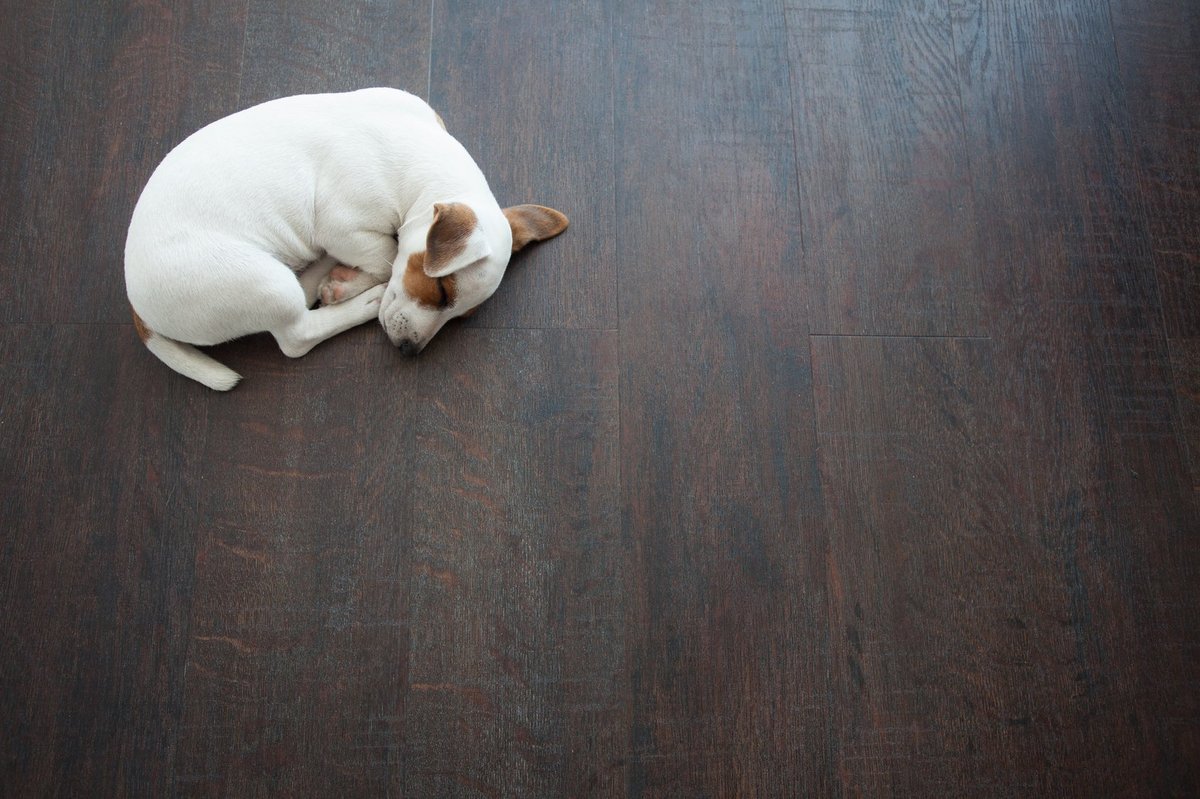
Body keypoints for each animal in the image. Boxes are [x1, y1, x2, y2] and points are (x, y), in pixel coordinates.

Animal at [124, 86, 568, 388]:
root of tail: (139, 310)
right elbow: (387, 255)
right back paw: (360, 301)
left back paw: (324, 275)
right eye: (442, 293)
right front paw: (360, 282)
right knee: (296, 336)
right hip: (260, 281)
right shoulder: (345, 226)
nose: (409, 352)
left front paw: (344, 279)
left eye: (462, 316)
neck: (417, 158)